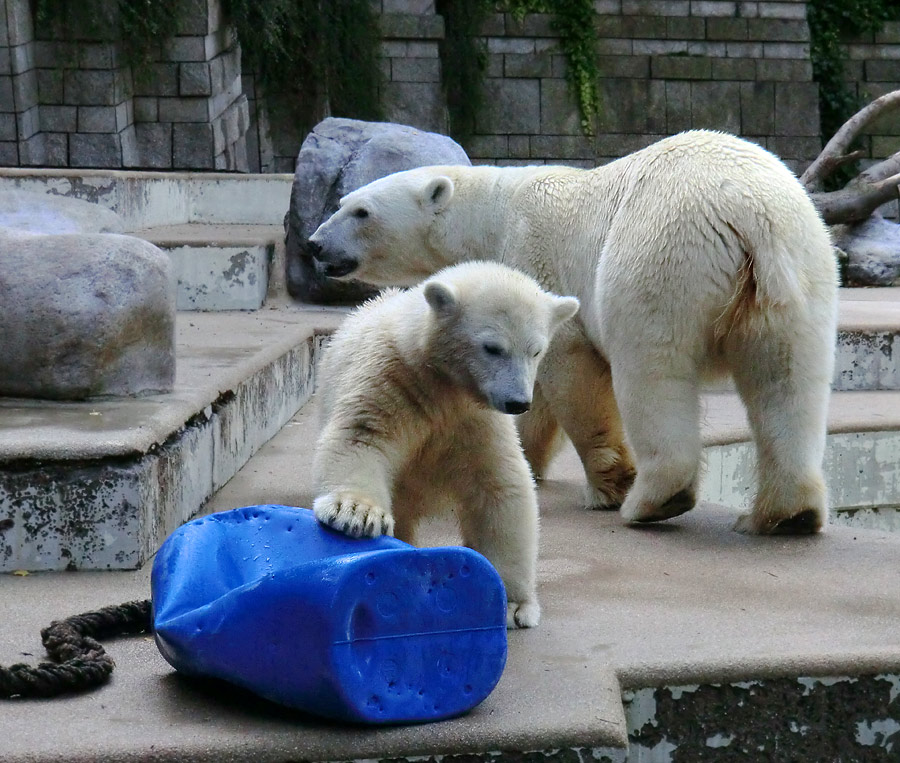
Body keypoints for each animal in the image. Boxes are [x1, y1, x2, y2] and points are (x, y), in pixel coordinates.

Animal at [308, 131, 836, 536]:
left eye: (360, 211)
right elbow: (534, 394)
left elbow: (569, 370)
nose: (314, 244)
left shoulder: (536, 258)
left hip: (661, 257)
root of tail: (747, 213)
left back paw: (649, 501)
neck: (492, 213)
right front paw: (528, 454)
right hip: (800, 270)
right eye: (343, 202)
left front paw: (607, 484)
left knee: (653, 373)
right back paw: (784, 515)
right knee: (789, 382)